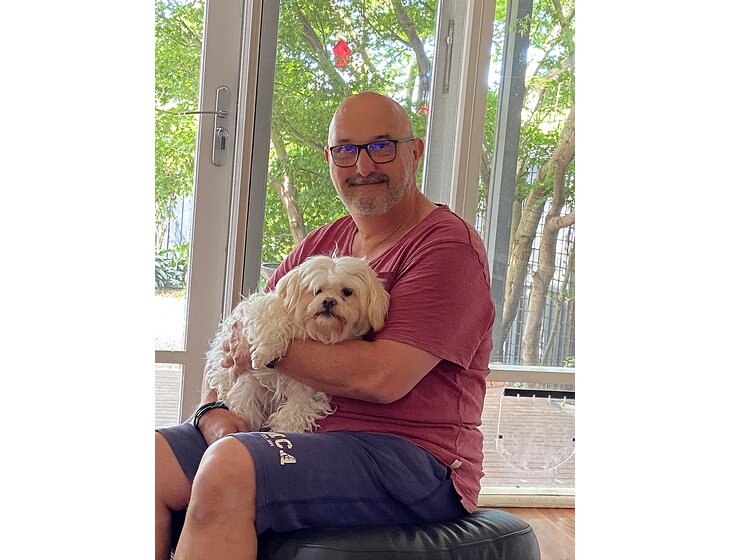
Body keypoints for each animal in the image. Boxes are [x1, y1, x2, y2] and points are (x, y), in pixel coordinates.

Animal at [203, 255, 390, 433]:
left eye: (347, 292)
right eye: (317, 290)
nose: (329, 301)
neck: (315, 330)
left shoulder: (307, 388)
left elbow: (294, 413)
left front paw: (282, 430)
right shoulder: (262, 308)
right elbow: (273, 320)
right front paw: (264, 354)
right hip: (245, 384)